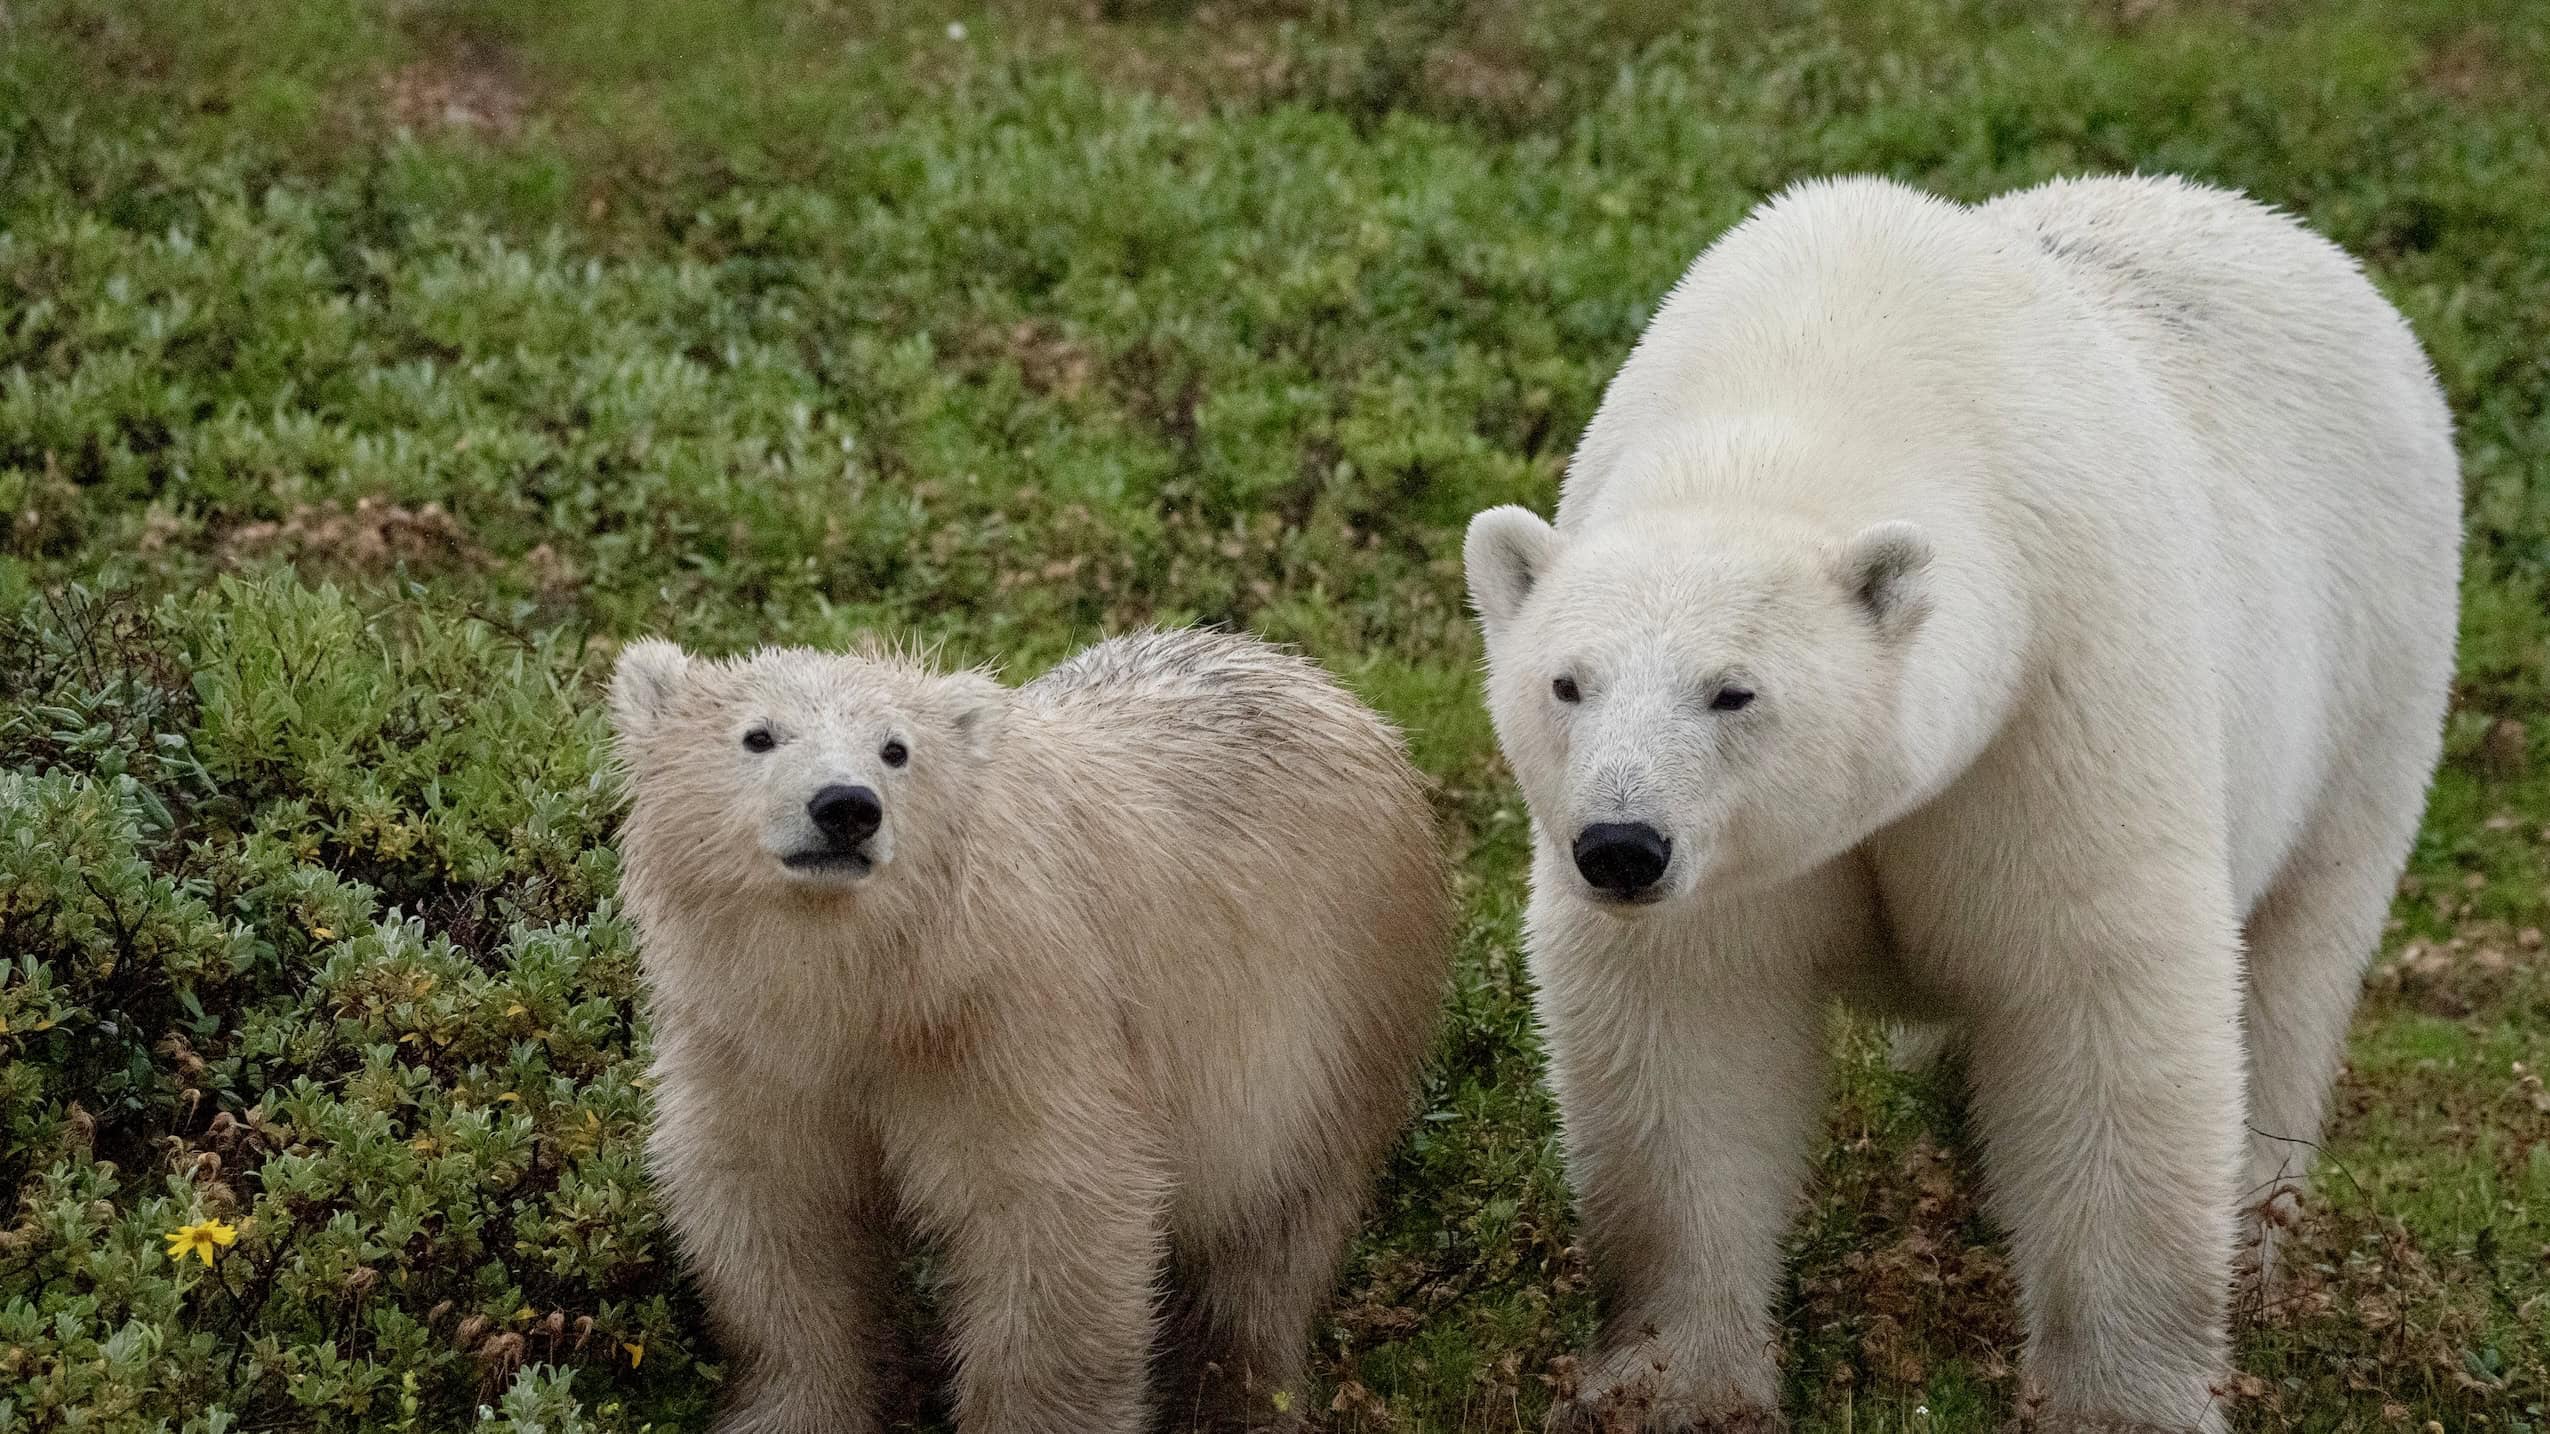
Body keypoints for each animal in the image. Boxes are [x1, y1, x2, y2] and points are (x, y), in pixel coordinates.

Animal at [608, 628, 1452, 1434]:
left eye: (896, 748)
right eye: (758, 735)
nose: (845, 806)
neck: (875, 991)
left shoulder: (1012, 1016)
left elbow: (1056, 1208)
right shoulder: (753, 1043)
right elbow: (773, 1205)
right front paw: (785, 1412)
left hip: (1338, 1004)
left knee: (1276, 1224)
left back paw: (1237, 1400)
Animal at [1462, 174, 2458, 1434]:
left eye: (1734, 690)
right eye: (1567, 683)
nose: (1620, 847)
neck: (1821, 372)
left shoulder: (2058, 683)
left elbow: (2095, 982)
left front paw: (2125, 1397)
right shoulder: (1732, 864)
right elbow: (1686, 1017)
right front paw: (1670, 1383)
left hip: (2378, 661)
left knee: (2297, 955)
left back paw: (2252, 1237)